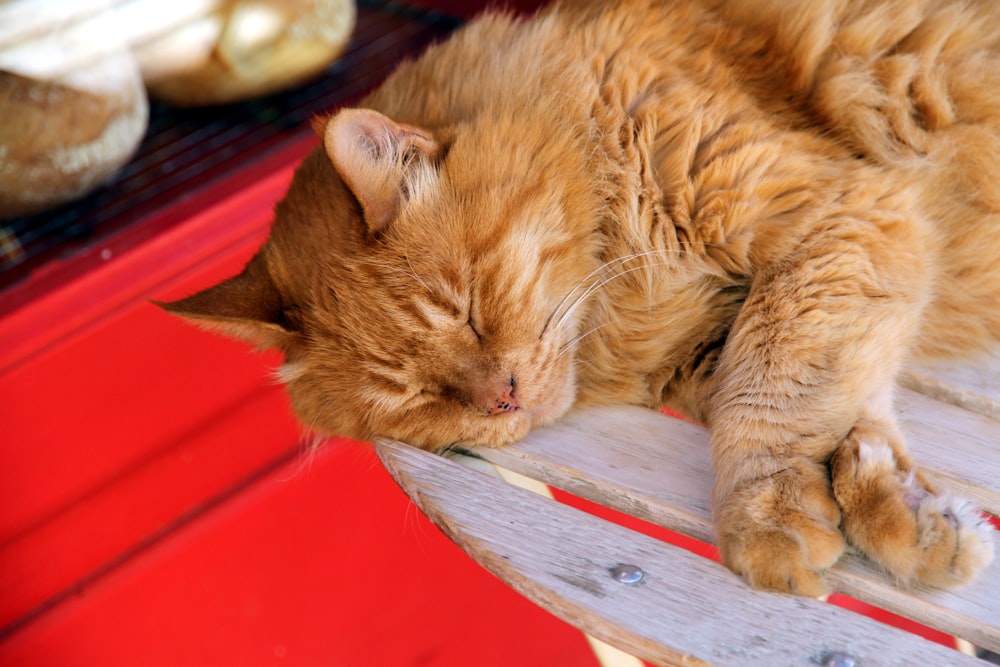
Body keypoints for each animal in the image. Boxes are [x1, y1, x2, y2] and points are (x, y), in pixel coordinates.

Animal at [160, 0, 996, 596]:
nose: (502, 397)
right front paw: (911, 523)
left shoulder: (834, 219)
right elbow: (826, 408)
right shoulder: (759, 318)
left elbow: (770, 393)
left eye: (468, 309)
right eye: (416, 398)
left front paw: (765, 522)